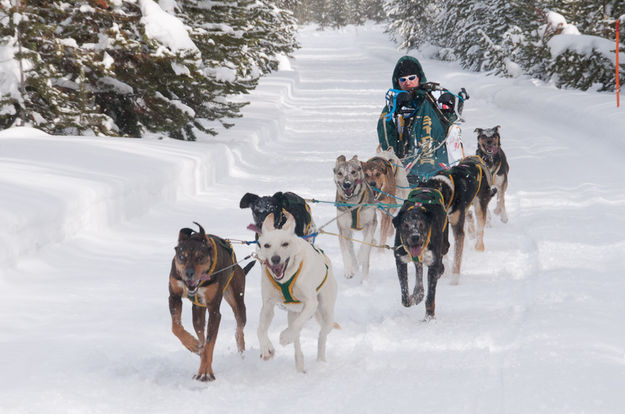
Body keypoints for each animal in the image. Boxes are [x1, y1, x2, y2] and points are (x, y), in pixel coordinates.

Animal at [167, 223, 255, 382]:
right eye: (182, 257)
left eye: (200, 257)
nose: (189, 274)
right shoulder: (174, 297)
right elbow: (176, 327)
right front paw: (193, 345)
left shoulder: (214, 310)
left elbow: (210, 344)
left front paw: (205, 373)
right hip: (198, 312)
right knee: (200, 332)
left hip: (238, 303)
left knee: (239, 331)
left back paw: (241, 353)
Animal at [256, 213, 338, 372]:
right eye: (267, 245)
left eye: (285, 244)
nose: (275, 259)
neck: (285, 278)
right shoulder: (268, 305)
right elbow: (261, 328)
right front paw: (266, 349)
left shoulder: (311, 303)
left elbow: (295, 326)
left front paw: (284, 337)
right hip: (293, 313)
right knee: (297, 339)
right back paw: (300, 366)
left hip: (326, 311)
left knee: (321, 335)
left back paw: (320, 361)